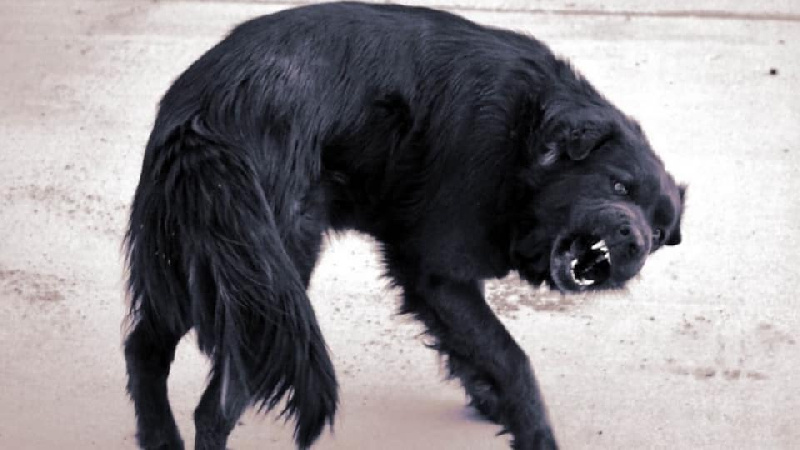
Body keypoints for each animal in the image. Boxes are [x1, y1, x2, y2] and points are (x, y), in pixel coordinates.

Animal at [123, 2, 685, 449]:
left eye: (660, 234)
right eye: (619, 186)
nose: (634, 243)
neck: (529, 138)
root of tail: (206, 118)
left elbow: (478, 354)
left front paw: (489, 399)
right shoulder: (437, 273)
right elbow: (513, 361)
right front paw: (534, 434)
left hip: (198, 266)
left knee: (142, 349)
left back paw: (159, 437)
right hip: (268, 287)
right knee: (211, 408)